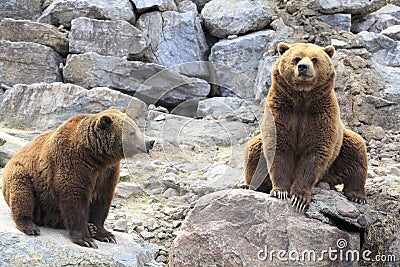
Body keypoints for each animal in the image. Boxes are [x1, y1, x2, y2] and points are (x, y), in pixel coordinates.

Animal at [1, 107, 155, 249]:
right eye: (133, 132)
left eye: (136, 128)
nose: (150, 141)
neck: (96, 155)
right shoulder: (72, 162)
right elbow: (74, 197)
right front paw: (86, 239)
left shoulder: (107, 172)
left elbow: (102, 201)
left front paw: (105, 234)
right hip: (25, 178)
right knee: (22, 192)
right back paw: (30, 226)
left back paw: (91, 227)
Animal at [242, 43, 368, 213]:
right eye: (296, 58)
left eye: (314, 59)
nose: (303, 67)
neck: (302, 99)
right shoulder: (280, 113)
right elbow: (278, 148)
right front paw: (281, 191)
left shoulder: (320, 116)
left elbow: (315, 153)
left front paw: (299, 198)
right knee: (253, 151)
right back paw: (249, 185)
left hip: (340, 150)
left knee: (357, 150)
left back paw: (357, 196)